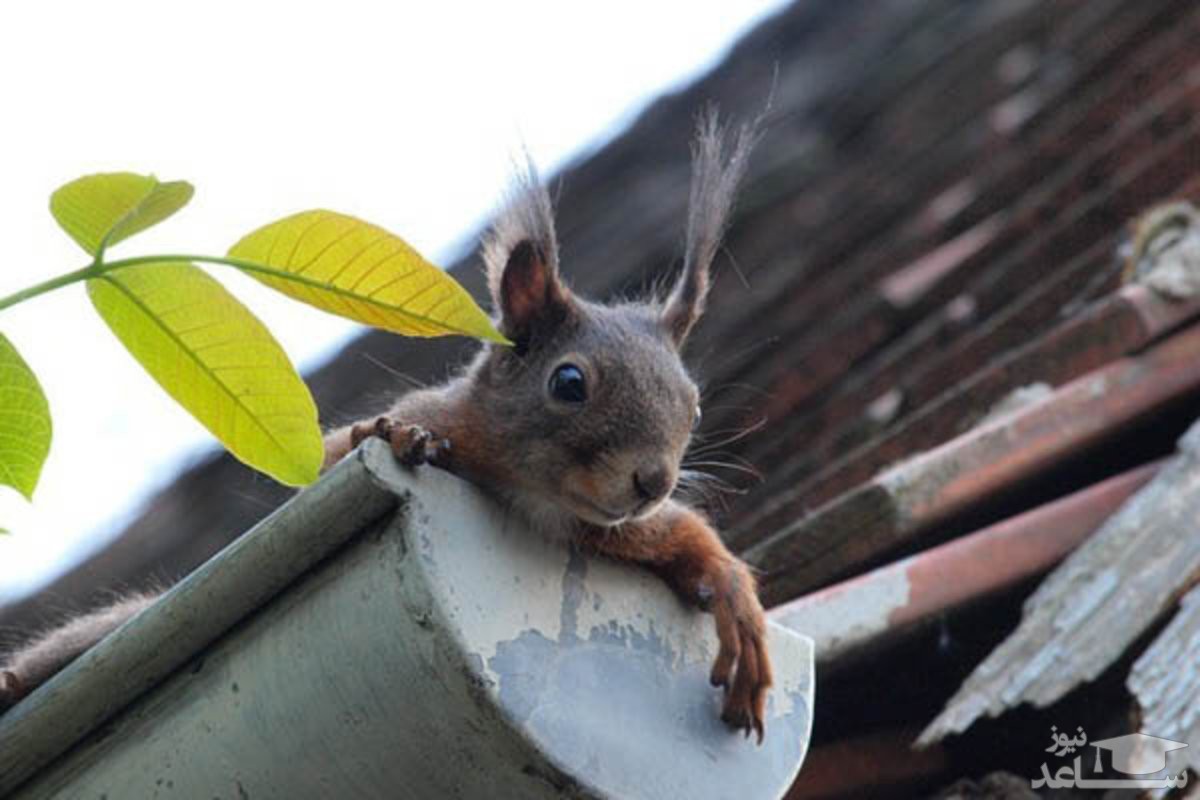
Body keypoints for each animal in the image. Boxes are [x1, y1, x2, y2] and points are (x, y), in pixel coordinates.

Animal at [0, 109, 768, 743]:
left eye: (695, 405)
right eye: (569, 383)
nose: (652, 480)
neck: (534, 493)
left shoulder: (600, 528)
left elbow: (682, 538)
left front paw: (734, 596)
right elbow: (333, 457)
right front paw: (397, 437)